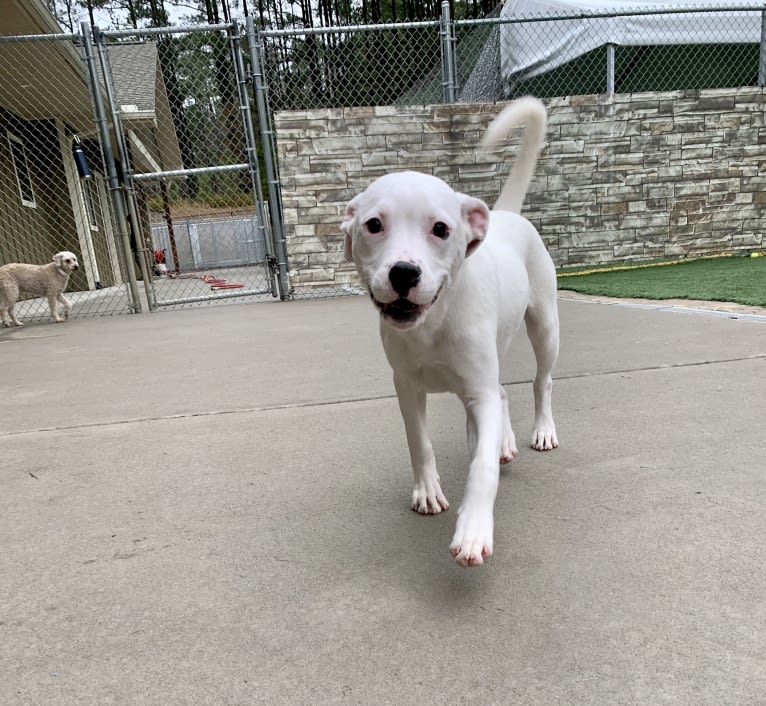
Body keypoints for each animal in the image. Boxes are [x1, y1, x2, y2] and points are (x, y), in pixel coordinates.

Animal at [344, 97, 560, 568]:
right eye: (373, 224)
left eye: (440, 229)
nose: (404, 272)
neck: (434, 322)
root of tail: (507, 214)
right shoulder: (406, 386)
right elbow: (419, 441)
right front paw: (428, 492)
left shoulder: (477, 388)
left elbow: (482, 468)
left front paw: (474, 530)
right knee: (502, 393)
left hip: (545, 328)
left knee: (541, 381)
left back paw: (541, 430)